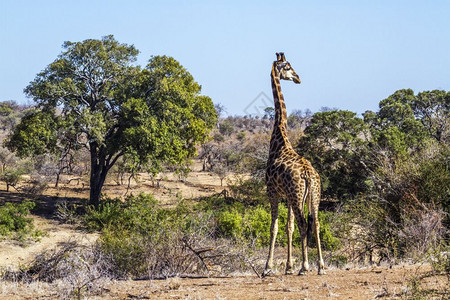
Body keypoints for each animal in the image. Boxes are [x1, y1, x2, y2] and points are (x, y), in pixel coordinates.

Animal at [262, 52, 326, 276]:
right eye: (288, 67)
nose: (298, 78)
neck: (279, 139)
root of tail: (308, 174)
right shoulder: (287, 196)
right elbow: (288, 226)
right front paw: (288, 267)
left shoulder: (272, 191)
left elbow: (274, 227)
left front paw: (268, 267)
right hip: (313, 195)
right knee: (315, 223)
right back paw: (320, 266)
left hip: (299, 196)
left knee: (303, 223)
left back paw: (305, 267)